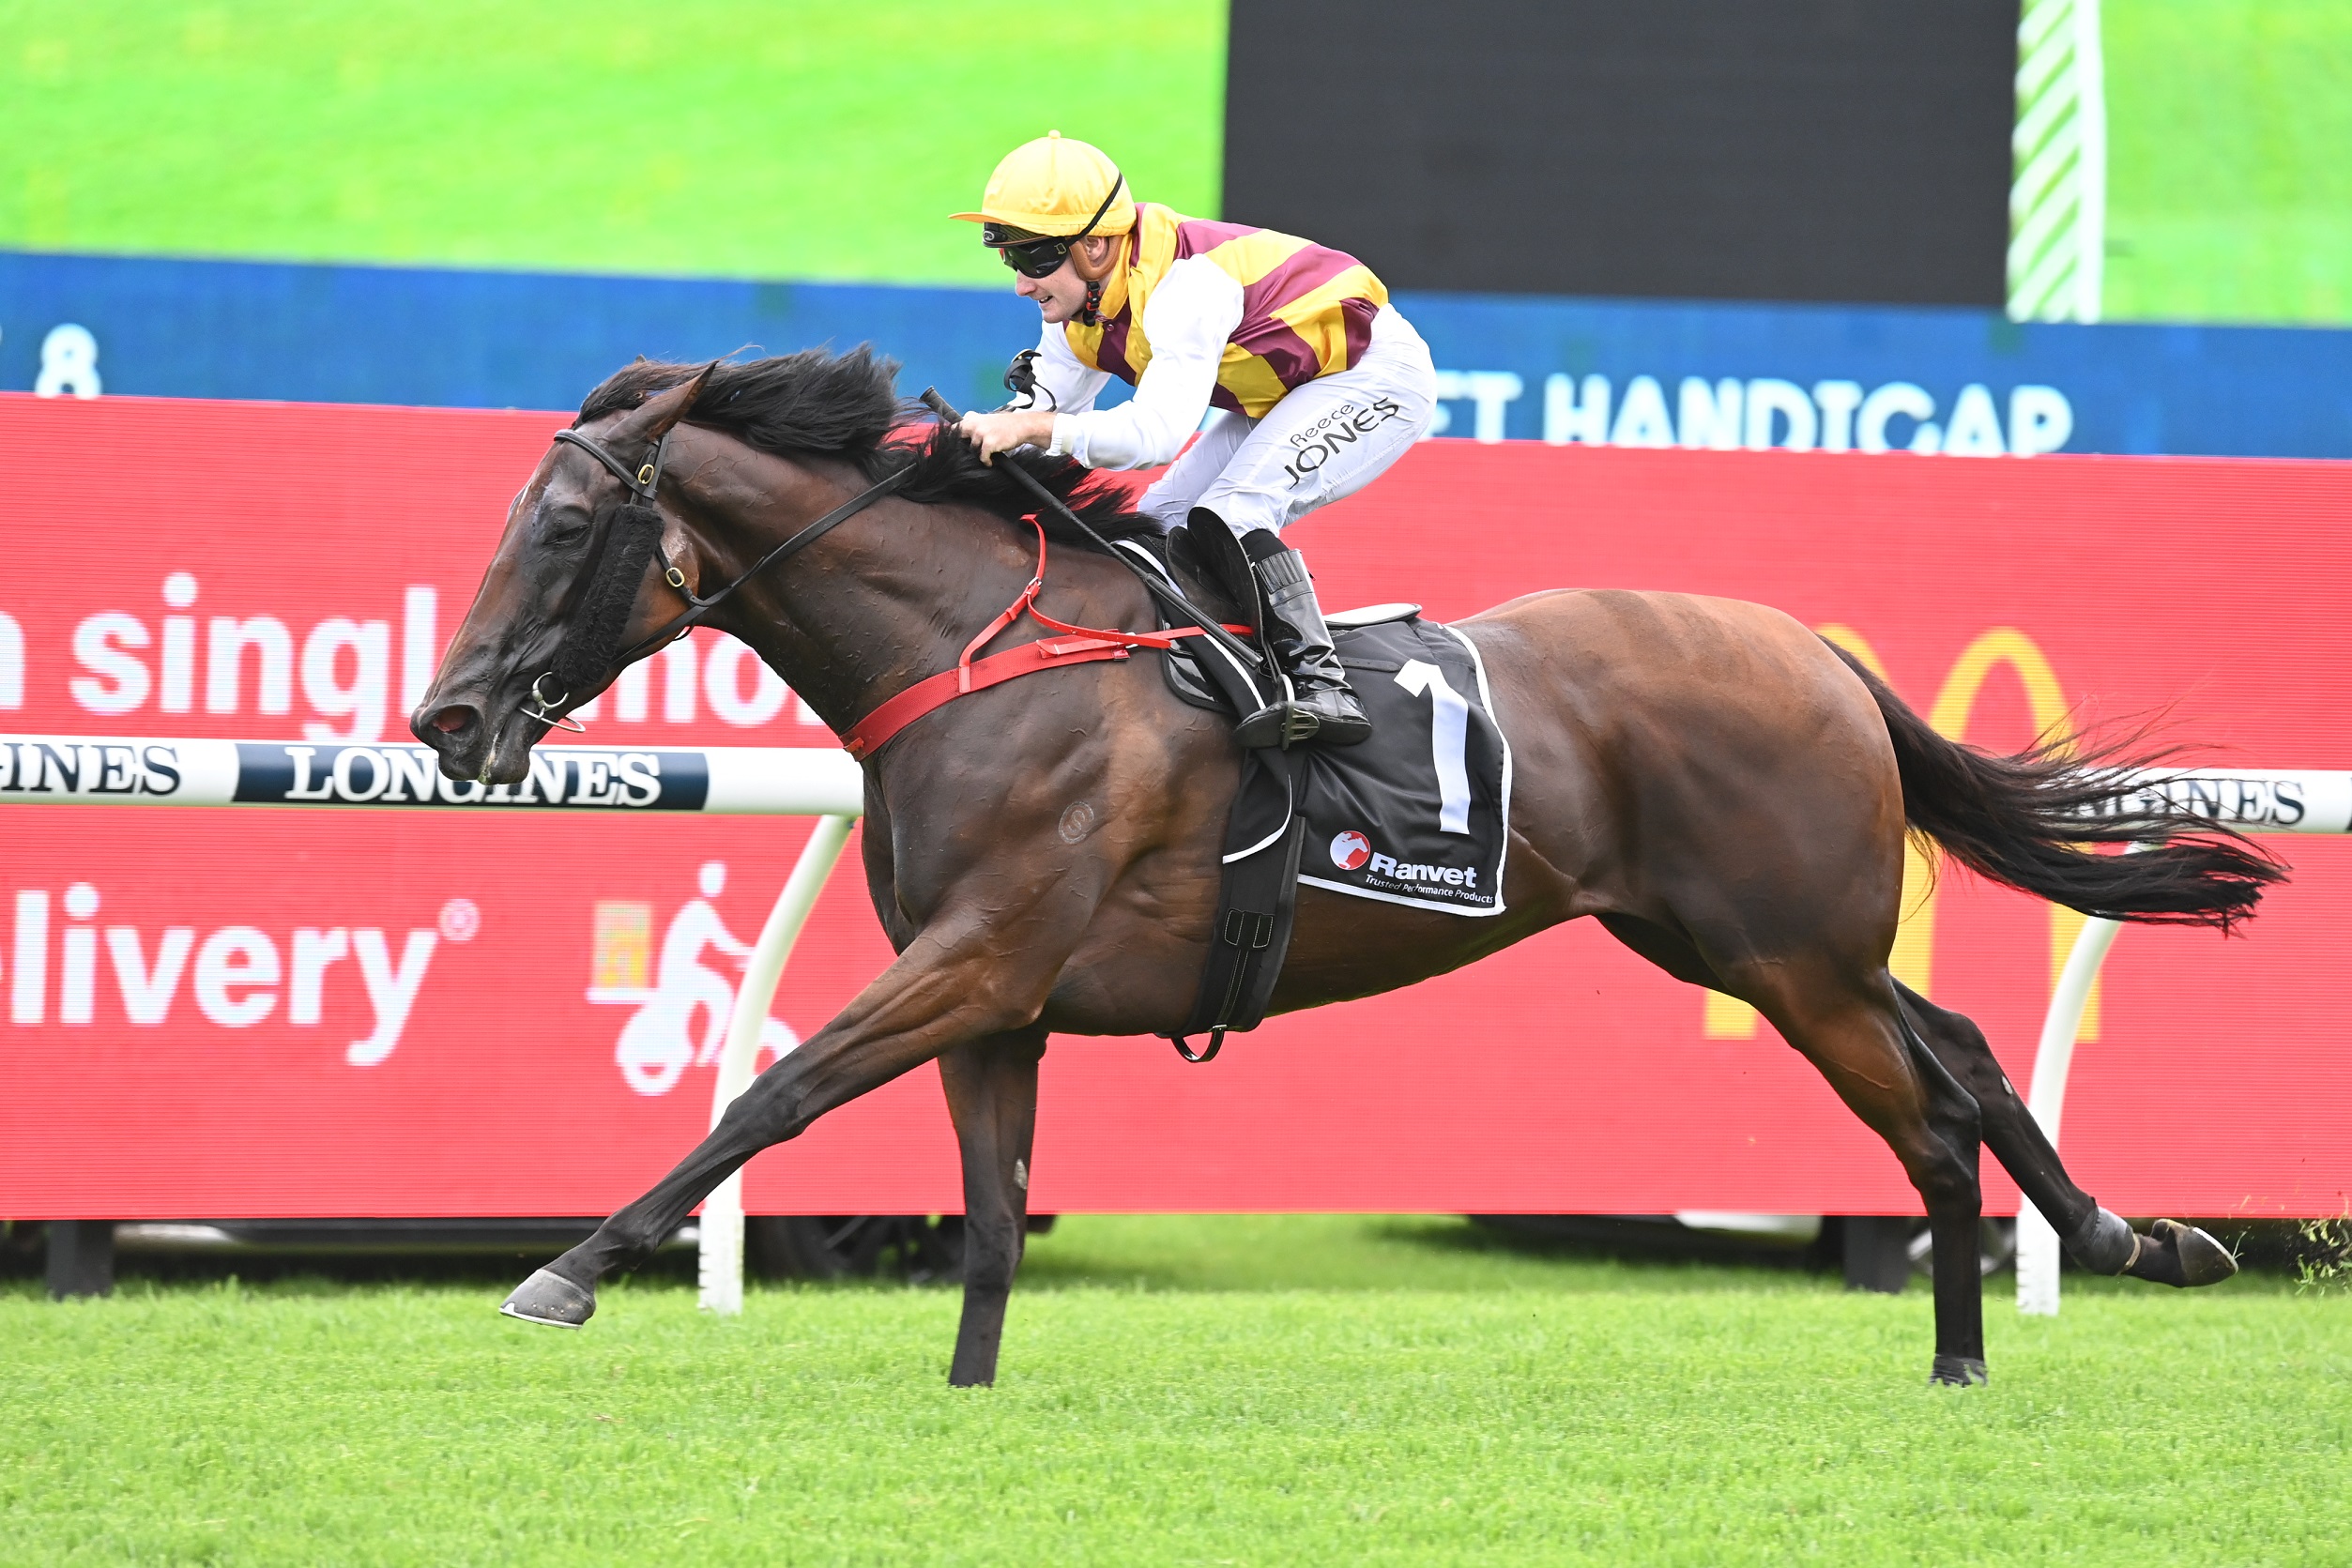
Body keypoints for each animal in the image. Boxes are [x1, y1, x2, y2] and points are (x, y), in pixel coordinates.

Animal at [413, 348, 2271, 1389]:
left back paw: (1964, 1351)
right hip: (1751, 942)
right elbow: (993, 1217)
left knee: (1934, 1116)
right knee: (1965, 1049)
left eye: (562, 526)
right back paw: (2130, 1236)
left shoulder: (979, 954)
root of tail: (1813, 649)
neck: (976, 656)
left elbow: (772, 1088)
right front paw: (967, 1396)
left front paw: (565, 1270)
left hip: (1788, 960)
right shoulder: (1000, 999)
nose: (444, 714)